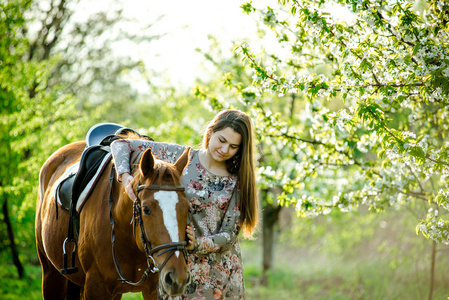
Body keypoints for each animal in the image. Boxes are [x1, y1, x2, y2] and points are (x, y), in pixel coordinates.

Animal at [36, 141, 191, 300]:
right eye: (146, 209)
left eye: (187, 208)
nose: (178, 278)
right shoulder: (95, 287)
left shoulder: (153, 291)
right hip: (51, 275)